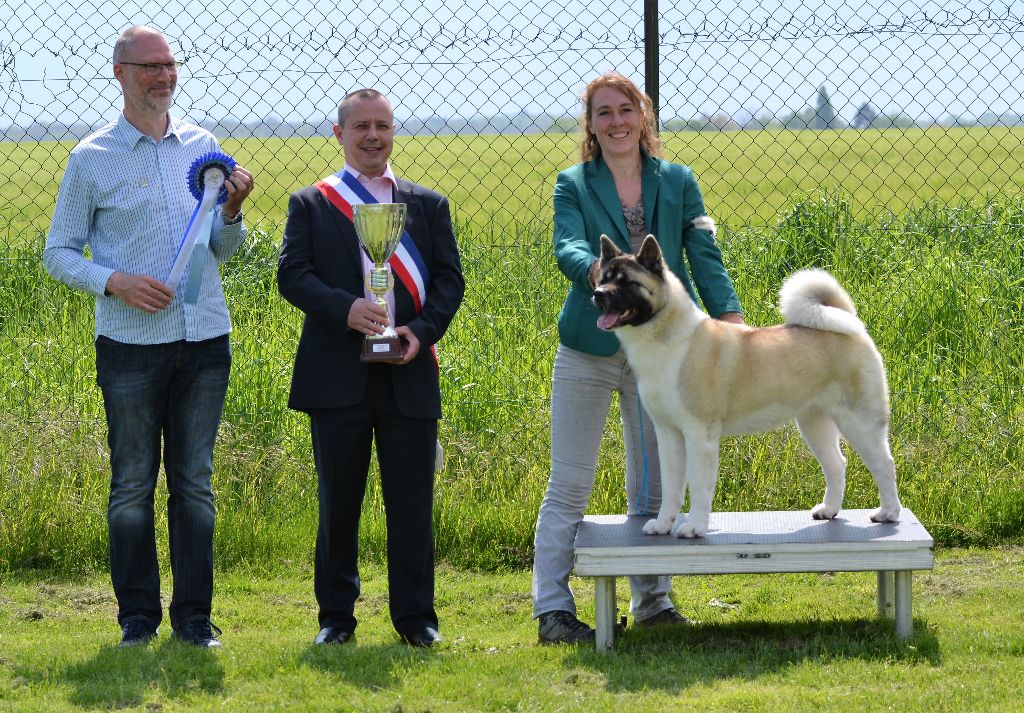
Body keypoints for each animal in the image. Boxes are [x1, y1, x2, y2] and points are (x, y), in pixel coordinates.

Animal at [593, 236, 905, 536]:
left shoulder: (698, 434)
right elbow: (671, 488)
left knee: (885, 465)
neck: (665, 338)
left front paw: (694, 527)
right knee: (836, 464)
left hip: (860, 422)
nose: (598, 294)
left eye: (627, 282)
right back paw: (829, 510)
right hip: (815, 424)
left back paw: (888, 513)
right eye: (602, 278)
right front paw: (662, 525)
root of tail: (849, 323)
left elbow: (699, 487)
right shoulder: (668, 434)